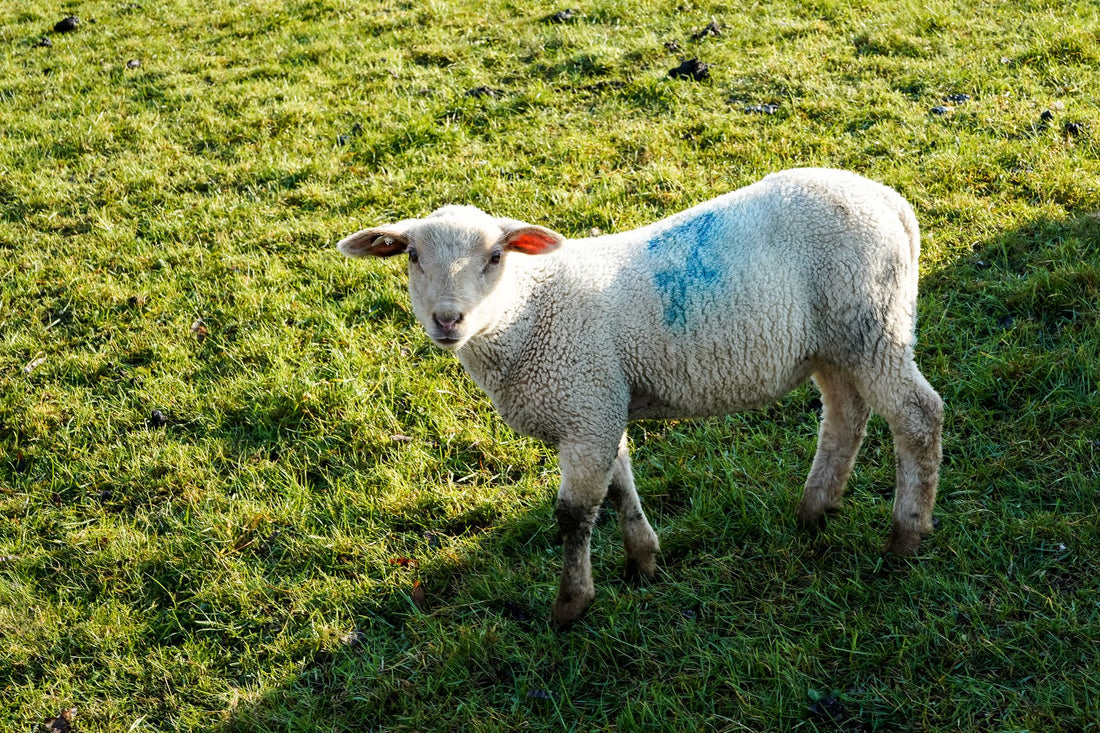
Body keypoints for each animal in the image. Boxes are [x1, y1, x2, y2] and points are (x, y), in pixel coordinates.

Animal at [337, 168, 943, 628]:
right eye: (411, 256)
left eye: (494, 258)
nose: (447, 319)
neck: (527, 313)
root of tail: (891, 203)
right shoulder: (602, 403)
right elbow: (620, 484)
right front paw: (643, 561)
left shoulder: (584, 405)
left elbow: (573, 515)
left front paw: (570, 606)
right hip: (833, 342)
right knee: (845, 417)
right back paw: (815, 510)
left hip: (870, 320)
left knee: (918, 416)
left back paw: (905, 536)